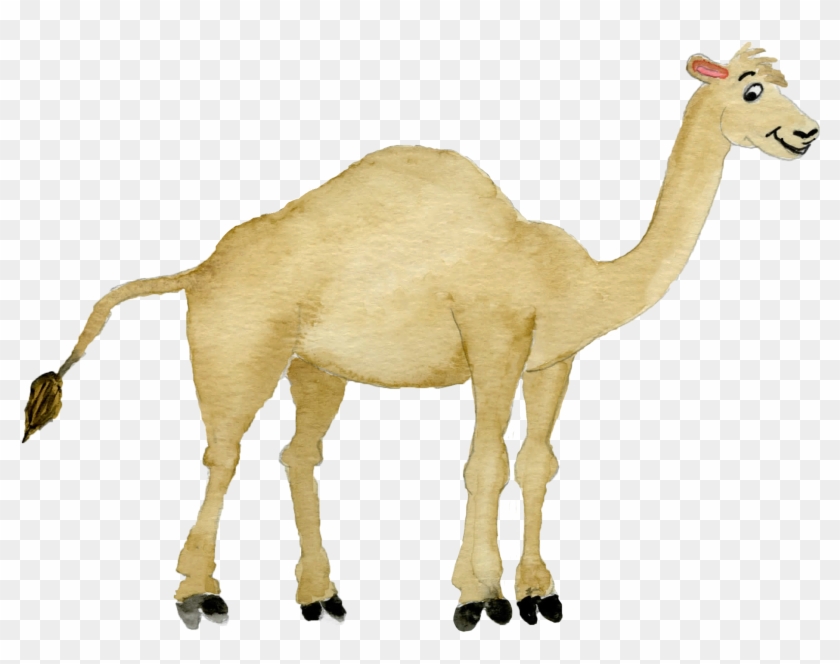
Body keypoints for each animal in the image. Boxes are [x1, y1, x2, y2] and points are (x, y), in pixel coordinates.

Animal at [22, 44, 818, 631]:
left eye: (783, 84)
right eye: (751, 90)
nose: (807, 131)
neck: (570, 277)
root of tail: (200, 269)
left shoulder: (553, 360)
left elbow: (536, 464)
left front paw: (540, 594)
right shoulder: (495, 340)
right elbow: (485, 464)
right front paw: (479, 598)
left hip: (316, 367)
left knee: (296, 454)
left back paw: (320, 597)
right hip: (236, 345)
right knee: (224, 452)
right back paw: (199, 594)